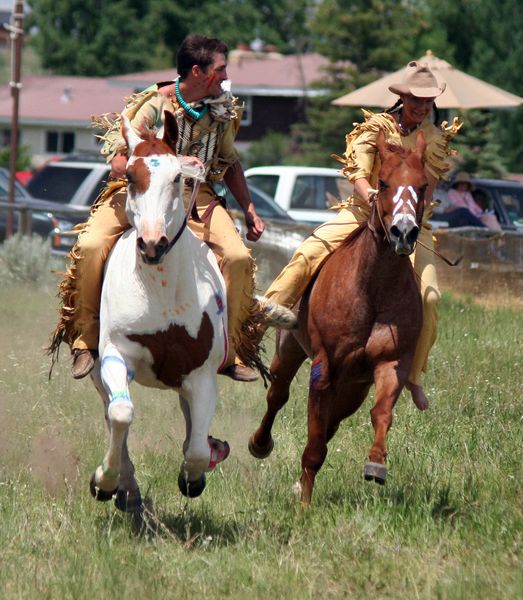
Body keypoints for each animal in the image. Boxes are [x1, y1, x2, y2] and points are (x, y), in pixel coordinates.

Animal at [90, 110, 231, 508]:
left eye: (178, 177)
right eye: (129, 176)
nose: (153, 243)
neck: (161, 292)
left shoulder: (202, 374)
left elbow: (196, 447)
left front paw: (193, 477)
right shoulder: (115, 356)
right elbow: (121, 414)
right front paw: (105, 481)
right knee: (111, 412)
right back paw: (123, 487)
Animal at [250, 132, 430, 506]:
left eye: (423, 185)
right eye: (384, 182)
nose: (403, 232)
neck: (372, 288)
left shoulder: (391, 363)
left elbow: (380, 412)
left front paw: (376, 463)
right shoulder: (324, 369)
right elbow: (314, 442)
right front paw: (304, 503)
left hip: (353, 387)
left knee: (332, 420)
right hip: (290, 351)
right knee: (278, 396)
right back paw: (260, 444)